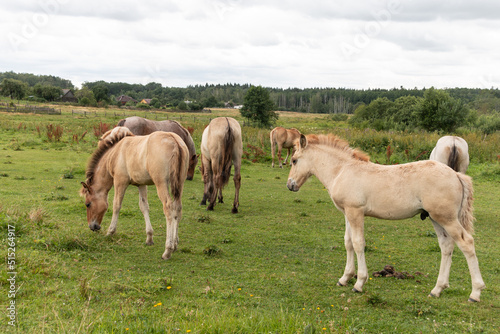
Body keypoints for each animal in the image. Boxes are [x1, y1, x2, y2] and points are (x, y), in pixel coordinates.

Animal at [80, 126, 189, 260]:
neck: (115, 152)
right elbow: (144, 207)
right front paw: (149, 237)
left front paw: (110, 231)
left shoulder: (120, 181)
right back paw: (175, 244)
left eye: (88, 204)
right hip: (179, 184)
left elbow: (116, 205)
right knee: (178, 208)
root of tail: (174, 141)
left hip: (161, 184)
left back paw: (168, 250)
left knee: (169, 208)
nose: (92, 227)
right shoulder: (141, 184)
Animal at [288, 133, 486, 302]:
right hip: (436, 219)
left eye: (294, 160)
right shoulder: (347, 213)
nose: (290, 185)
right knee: (446, 246)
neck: (342, 170)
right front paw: (344, 278)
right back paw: (437, 289)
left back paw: (475, 293)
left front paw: (359, 283)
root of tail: (456, 175)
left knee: (467, 243)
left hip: (447, 218)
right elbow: (348, 242)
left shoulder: (355, 212)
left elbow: (358, 243)